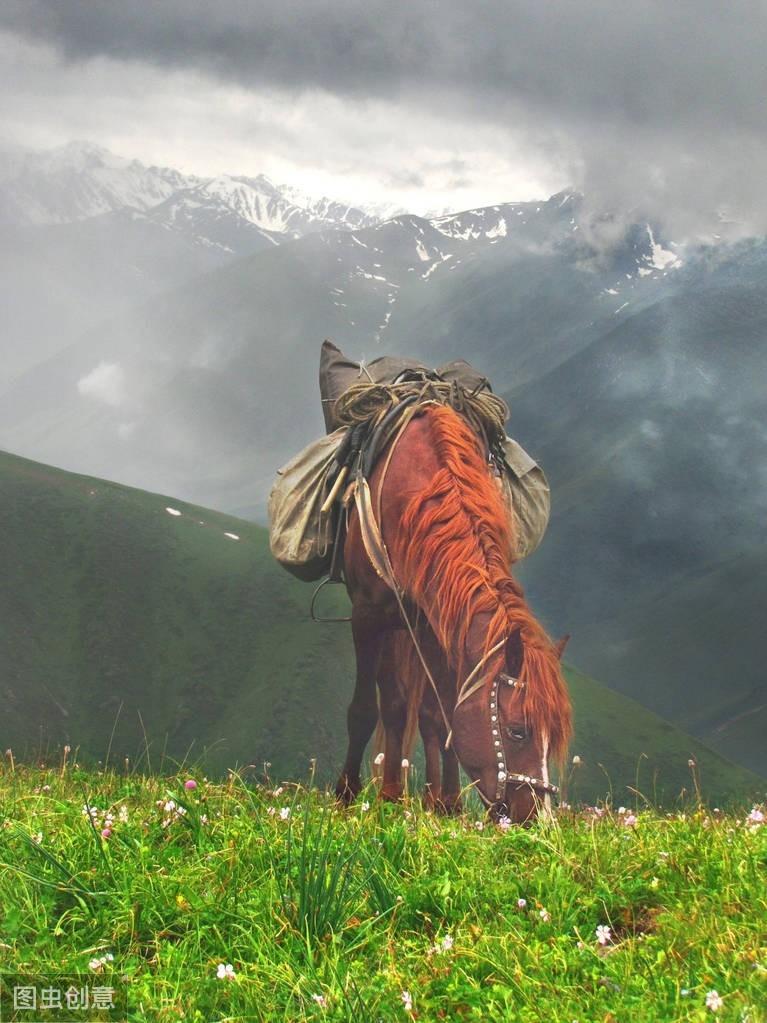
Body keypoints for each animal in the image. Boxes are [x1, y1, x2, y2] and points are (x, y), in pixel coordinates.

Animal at [333, 398, 572, 822]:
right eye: (517, 730)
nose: (536, 818)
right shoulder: (367, 617)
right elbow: (364, 710)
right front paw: (347, 796)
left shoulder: (439, 622)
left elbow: (439, 715)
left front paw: (446, 804)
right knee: (392, 704)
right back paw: (390, 793)